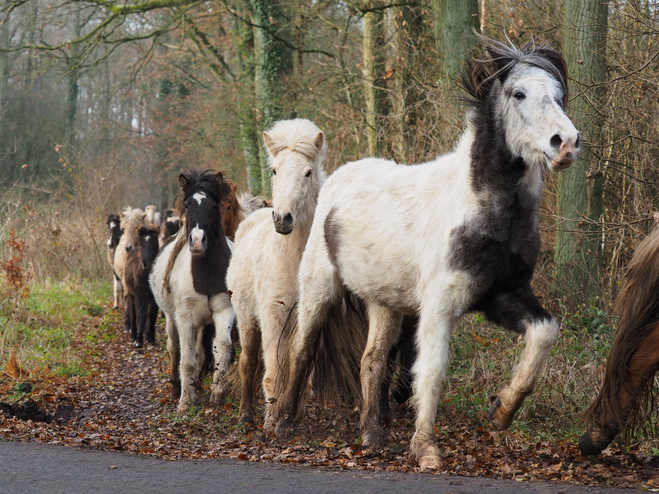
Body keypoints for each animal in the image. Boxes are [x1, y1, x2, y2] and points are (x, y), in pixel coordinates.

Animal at [149, 170, 235, 412]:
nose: (197, 241)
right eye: (187, 205)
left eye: (214, 206)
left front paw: (217, 394)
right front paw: (186, 402)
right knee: (174, 348)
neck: (204, 271)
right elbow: (186, 360)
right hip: (172, 318)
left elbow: (222, 347)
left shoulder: (224, 311)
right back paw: (177, 388)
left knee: (199, 351)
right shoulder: (185, 318)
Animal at [270, 36, 580, 468]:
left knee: (372, 360)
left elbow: (545, 332)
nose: (566, 144)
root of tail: (337, 178)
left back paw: (372, 433)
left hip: (385, 303)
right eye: (518, 93)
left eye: (559, 95)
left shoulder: (504, 295)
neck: (480, 209)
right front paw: (426, 448)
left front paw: (502, 409)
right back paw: (284, 424)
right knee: (303, 351)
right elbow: (431, 371)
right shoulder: (439, 305)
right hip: (319, 289)